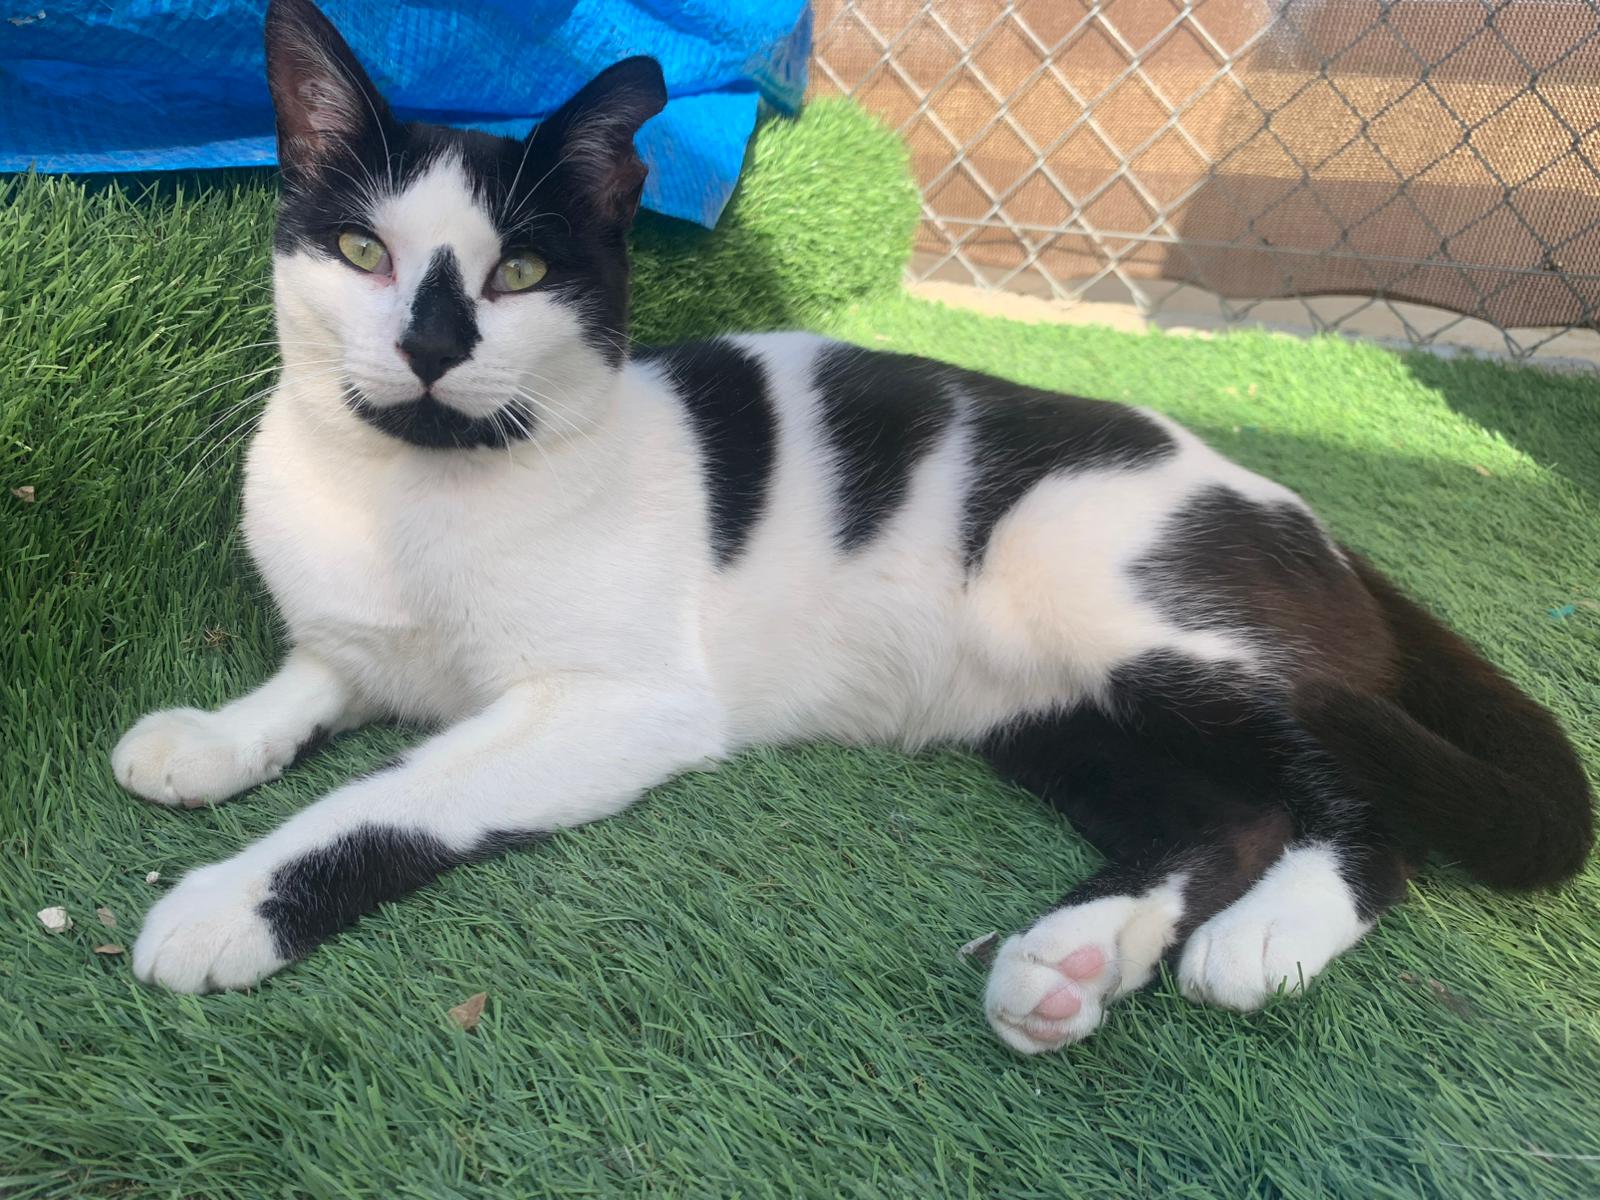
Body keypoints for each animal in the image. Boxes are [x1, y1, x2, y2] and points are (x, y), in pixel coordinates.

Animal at [115, 0, 1593, 1054]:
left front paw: (230, 902)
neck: (406, 494)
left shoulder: (622, 703)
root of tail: (1315, 530)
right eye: (364, 253)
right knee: (1230, 813)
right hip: (1049, 716)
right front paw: (213, 737)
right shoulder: (363, 639)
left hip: (1122, 607)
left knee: (1363, 802)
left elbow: (393, 795)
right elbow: (314, 678)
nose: (429, 346)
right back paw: (1078, 958)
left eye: (519, 271)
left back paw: (1270, 932)